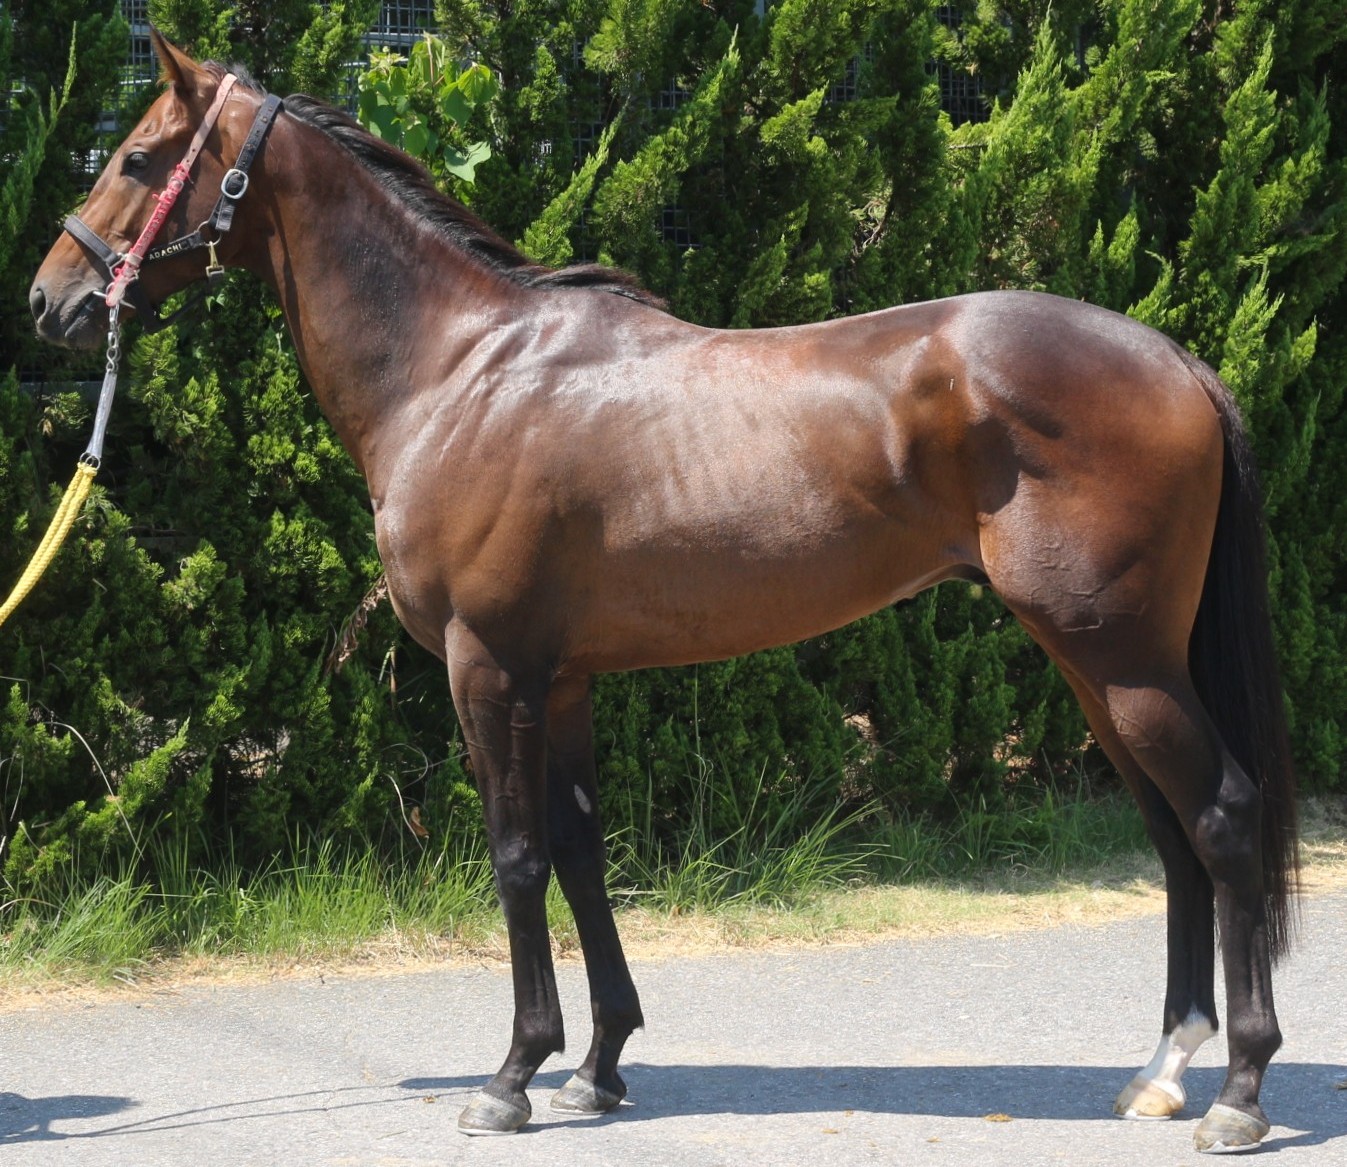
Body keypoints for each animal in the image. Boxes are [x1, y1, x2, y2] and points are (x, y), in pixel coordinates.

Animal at [30, 33, 1297, 1152]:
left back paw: (1238, 1091)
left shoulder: (489, 668)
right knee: (1172, 834)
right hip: (1098, 666)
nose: (51, 302)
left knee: (1225, 818)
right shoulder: (565, 678)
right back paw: (1161, 1071)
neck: (461, 371)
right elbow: (583, 854)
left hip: (1122, 661)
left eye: (137, 158)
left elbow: (516, 858)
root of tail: (1179, 363)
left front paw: (511, 1077)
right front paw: (597, 1066)